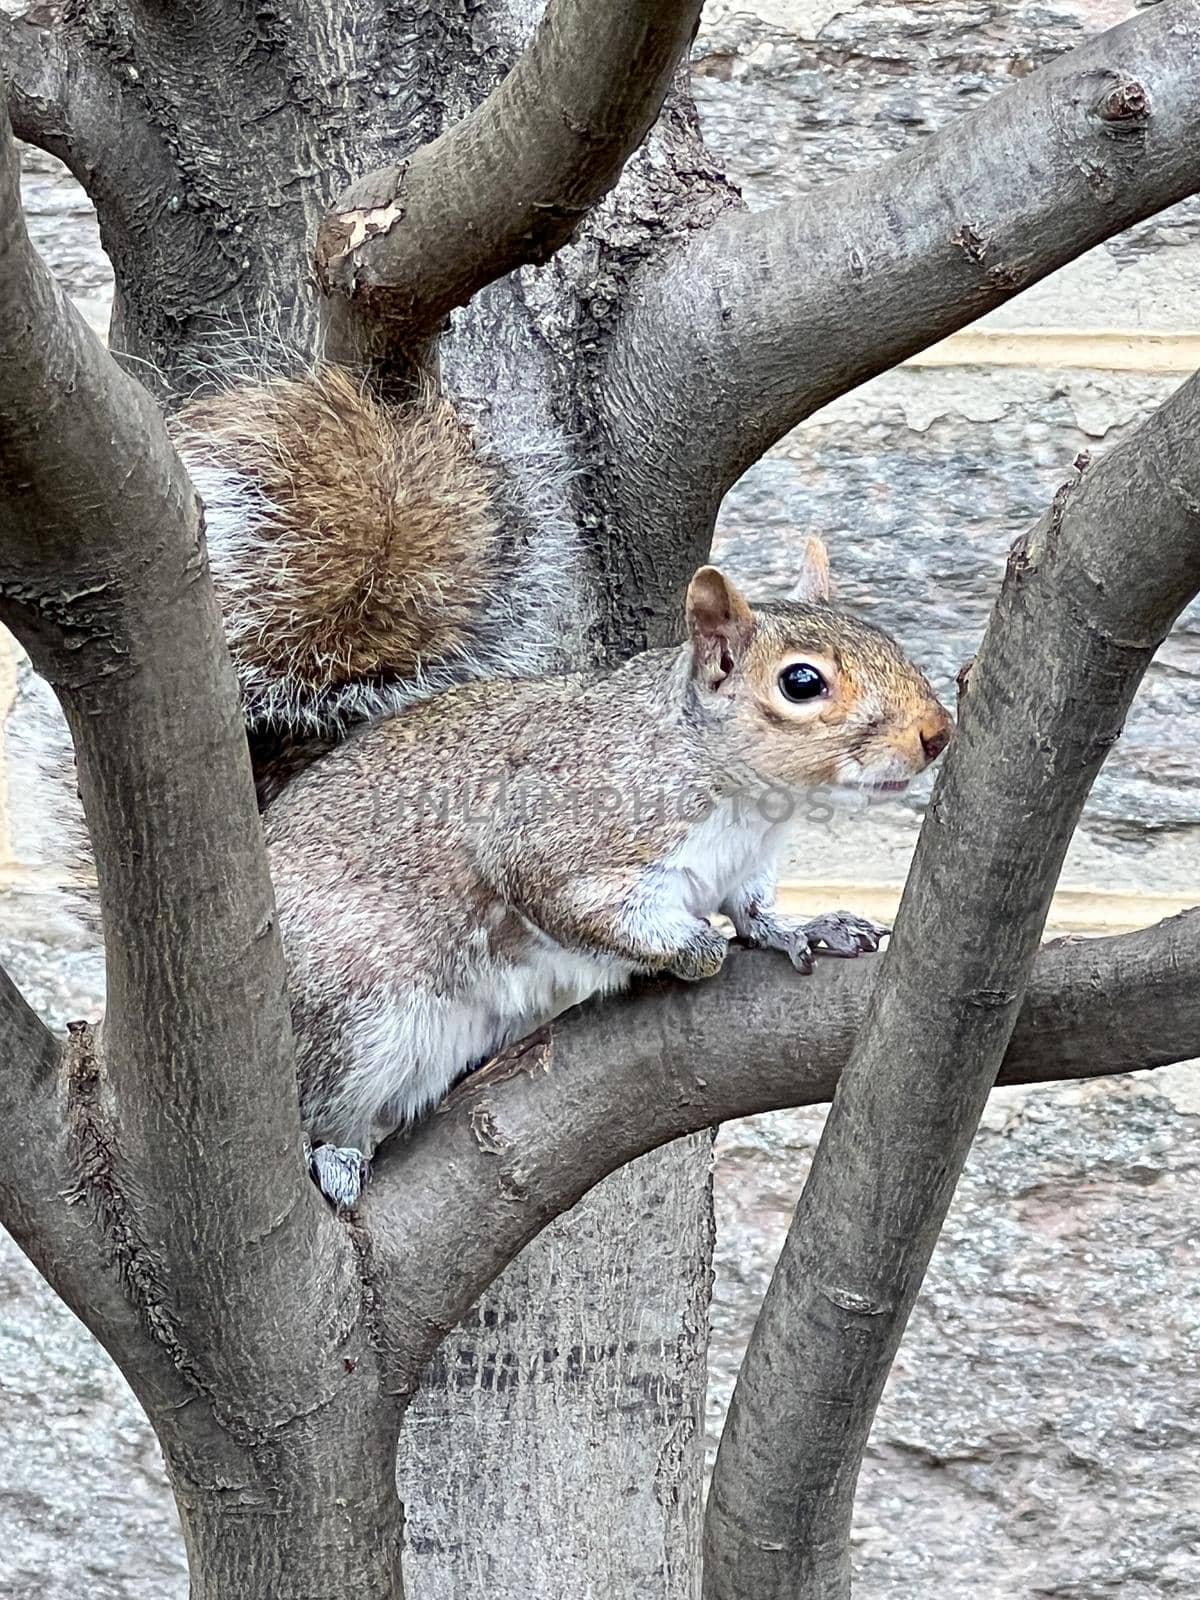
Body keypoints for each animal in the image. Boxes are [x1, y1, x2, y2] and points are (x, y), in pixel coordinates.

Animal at [44, 366, 960, 1209]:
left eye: (886, 635)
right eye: (803, 683)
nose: (936, 733)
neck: (740, 795)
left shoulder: (747, 863)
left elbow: (757, 909)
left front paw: (805, 930)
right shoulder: (566, 829)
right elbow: (580, 902)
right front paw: (691, 948)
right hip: (354, 1011)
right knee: (321, 1096)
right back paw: (332, 1155)